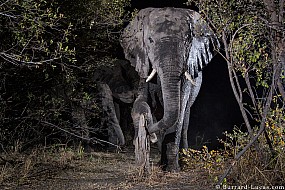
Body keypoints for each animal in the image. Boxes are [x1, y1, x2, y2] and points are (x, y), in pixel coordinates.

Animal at [119, 7, 217, 171]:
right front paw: (147, 126)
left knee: (185, 118)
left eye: (187, 41)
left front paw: (172, 169)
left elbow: (179, 112)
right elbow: (141, 100)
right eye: (150, 41)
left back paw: (183, 158)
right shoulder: (143, 63)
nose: (149, 132)